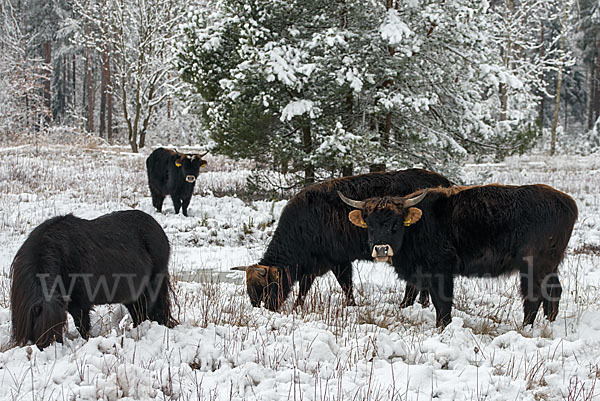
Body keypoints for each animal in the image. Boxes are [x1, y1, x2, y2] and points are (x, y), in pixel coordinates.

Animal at [10, 209, 176, 346]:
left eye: (58, 327)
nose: (50, 348)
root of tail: (158, 228)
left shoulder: (80, 304)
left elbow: (83, 327)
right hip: (133, 296)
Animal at [230, 168, 450, 310]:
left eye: (265, 287)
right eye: (250, 290)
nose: (265, 308)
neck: (305, 224)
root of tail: (444, 182)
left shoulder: (339, 260)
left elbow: (346, 285)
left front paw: (351, 305)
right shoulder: (312, 266)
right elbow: (304, 288)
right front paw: (298, 307)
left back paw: (406, 305)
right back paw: (421, 303)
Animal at [338, 184, 576, 328]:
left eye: (395, 224)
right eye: (369, 223)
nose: (381, 249)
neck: (418, 225)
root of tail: (568, 202)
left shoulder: (441, 272)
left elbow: (442, 302)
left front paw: (442, 326)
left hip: (535, 265)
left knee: (534, 295)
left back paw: (526, 326)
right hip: (550, 266)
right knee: (553, 291)